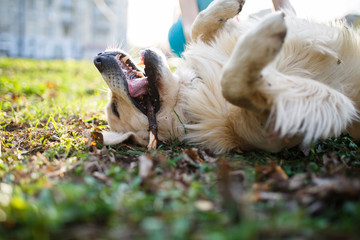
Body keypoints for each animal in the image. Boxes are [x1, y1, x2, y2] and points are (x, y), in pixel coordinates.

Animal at [93, 0, 360, 153]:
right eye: (115, 109)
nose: (97, 59)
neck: (191, 89)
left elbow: (199, 25)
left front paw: (227, 6)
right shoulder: (273, 133)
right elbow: (232, 82)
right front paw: (261, 39)